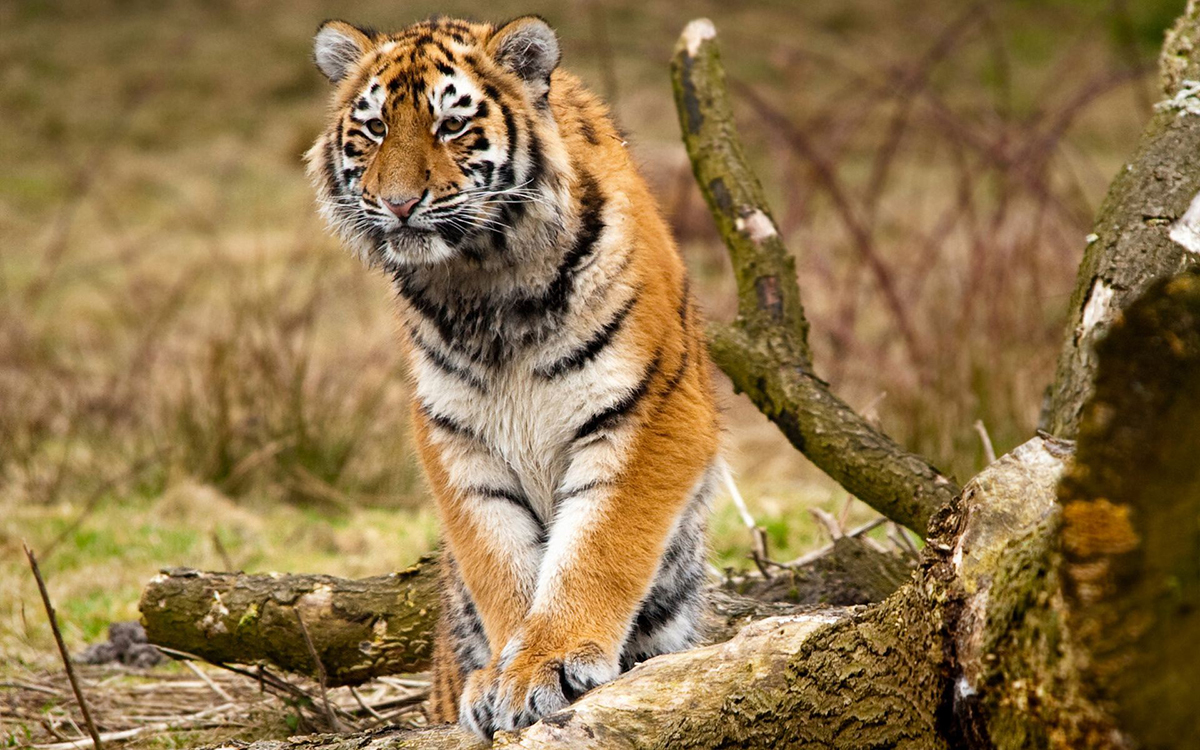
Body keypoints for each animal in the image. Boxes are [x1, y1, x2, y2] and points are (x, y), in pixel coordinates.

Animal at [306, 14, 721, 739]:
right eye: (376, 128)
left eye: (450, 126)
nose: (399, 204)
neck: (483, 283)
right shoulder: (455, 436)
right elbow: (499, 561)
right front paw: (504, 674)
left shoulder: (650, 408)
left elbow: (597, 546)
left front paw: (545, 665)